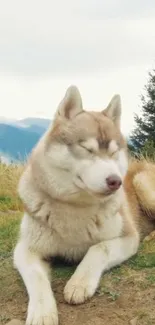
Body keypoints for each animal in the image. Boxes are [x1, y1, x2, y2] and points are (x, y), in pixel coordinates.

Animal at [13, 86, 155, 324]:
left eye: (114, 152)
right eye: (87, 149)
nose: (116, 181)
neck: (76, 207)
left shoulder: (128, 237)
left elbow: (99, 248)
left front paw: (79, 282)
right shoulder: (26, 249)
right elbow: (36, 276)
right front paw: (42, 311)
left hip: (142, 182)